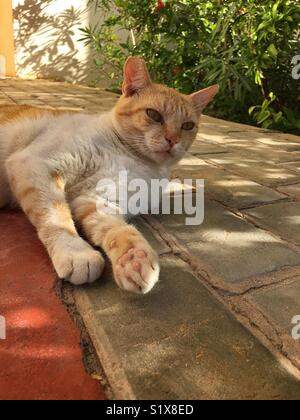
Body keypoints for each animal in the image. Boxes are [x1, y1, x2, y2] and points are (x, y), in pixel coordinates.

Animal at [0, 57, 218, 294]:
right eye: (153, 114)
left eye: (187, 125)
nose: (173, 140)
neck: (128, 156)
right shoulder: (35, 164)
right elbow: (56, 216)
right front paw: (76, 252)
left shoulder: (98, 200)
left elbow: (118, 230)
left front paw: (134, 258)